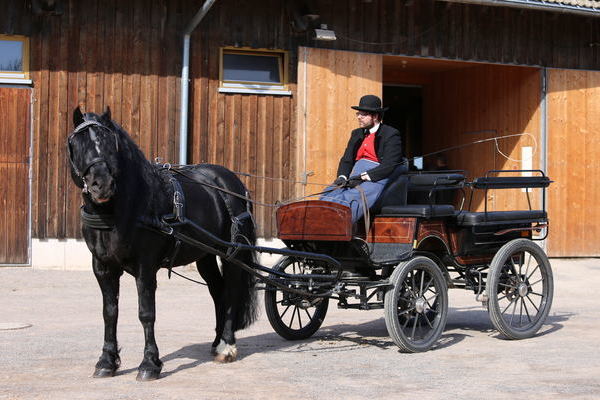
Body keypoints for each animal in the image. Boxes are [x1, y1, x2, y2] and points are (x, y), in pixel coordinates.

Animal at [67, 107, 258, 382]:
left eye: (111, 144)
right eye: (77, 144)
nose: (101, 185)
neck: (125, 209)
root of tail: (233, 183)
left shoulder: (145, 268)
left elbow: (146, 313)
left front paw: (149, 364)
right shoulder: (102, 267)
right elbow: (109, 312)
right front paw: (106, 362)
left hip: (232, 253)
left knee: (231, 291)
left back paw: (227, 346)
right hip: (205, 255)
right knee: (217, 290)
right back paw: (216, 342)